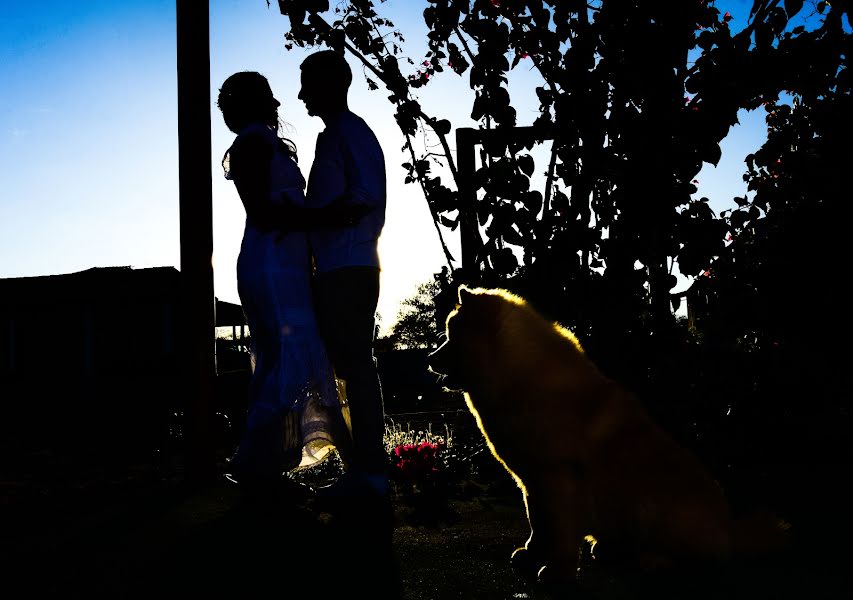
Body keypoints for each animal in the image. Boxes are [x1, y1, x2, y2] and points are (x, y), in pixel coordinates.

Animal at [430, 286, 788, 584]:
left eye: (450, 336)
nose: (429, 358)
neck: (517, 377)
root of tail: (729, 529)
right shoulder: (531, 480)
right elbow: (537, 523)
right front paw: (532, 554)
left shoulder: (558, 477)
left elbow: (559, 531)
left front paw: (557, 571)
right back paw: (608, 548)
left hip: (656, 509)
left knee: (705, 560)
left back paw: (656, 561)